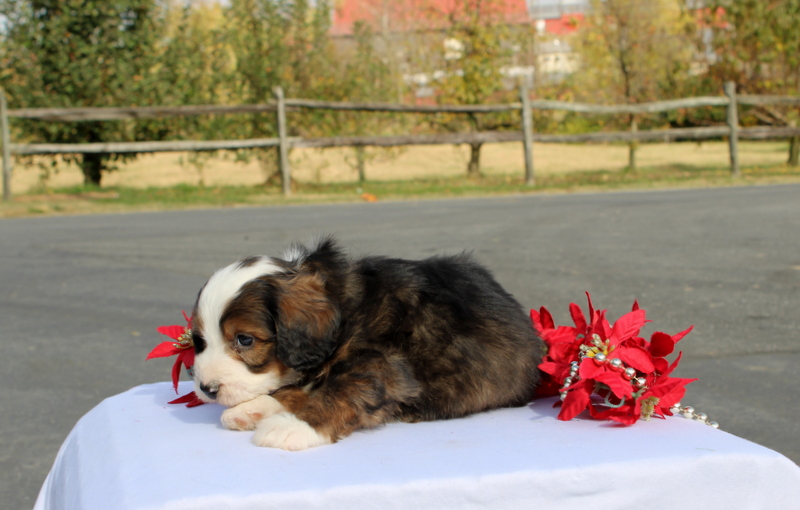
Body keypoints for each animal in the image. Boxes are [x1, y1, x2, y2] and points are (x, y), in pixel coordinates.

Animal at [191, 237, 548, 448]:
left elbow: (336, 393)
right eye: (199, 341)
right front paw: (255, 408)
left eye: (244, 339)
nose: (207, 389)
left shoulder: (381, 365)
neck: (342, 308)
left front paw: (292, 426)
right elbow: (301, 388)